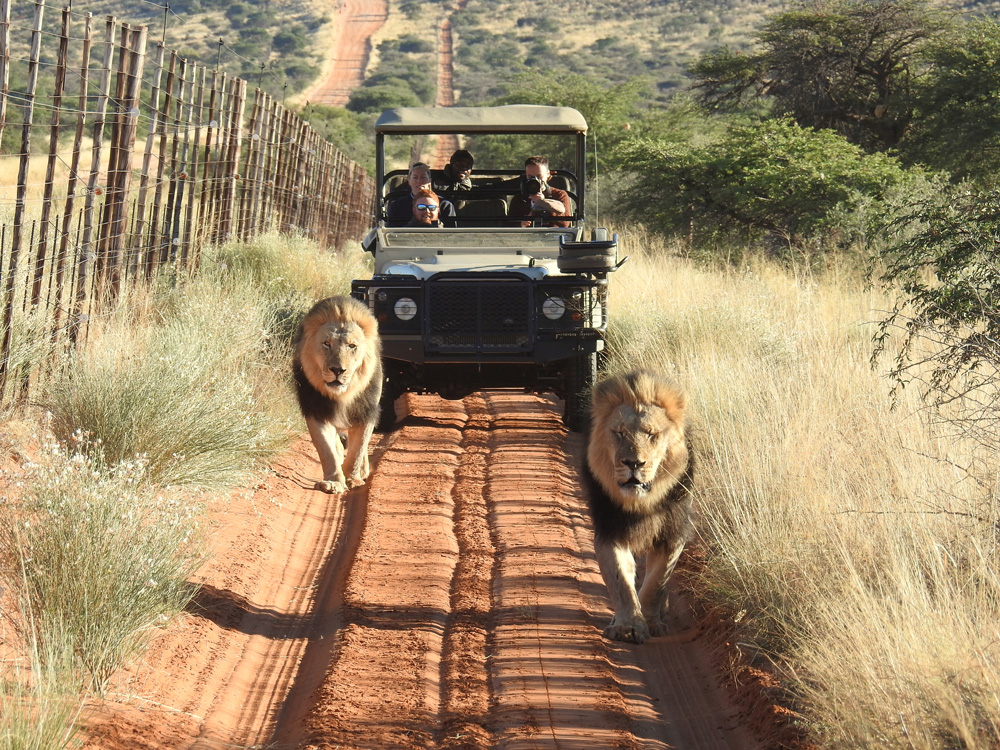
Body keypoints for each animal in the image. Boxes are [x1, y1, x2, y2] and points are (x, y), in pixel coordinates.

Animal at [292, 296, 382, 496]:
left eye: (352, 346)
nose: (337, 370)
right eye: (327, 343)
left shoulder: (366, 411)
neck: (344, 395)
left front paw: (353, 479)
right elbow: (326, 450)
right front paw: (333, 482)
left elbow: (358, 450)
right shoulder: (316, 411)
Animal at [580, 370, 696, 648]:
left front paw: (651, 622)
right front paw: (628, 626)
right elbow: (621, 580)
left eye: (652, 434)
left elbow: (657, 581)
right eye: (619, 433)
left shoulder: (674, 531)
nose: (633, 463)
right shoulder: (610, 528)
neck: (642, 501)